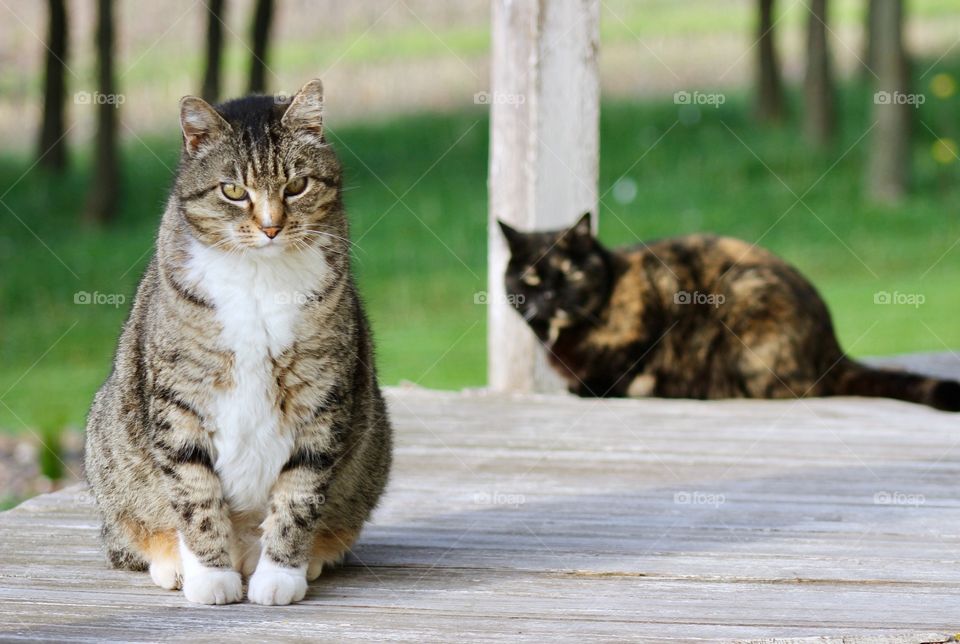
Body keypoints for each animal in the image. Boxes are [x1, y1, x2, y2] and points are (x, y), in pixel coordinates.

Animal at [84, 79, 392, 604]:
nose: (271, 227)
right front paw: (211, 576)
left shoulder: (321, 400)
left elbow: (299, 494)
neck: (259, 277)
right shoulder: (180, 401)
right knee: (131, 536)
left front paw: (280, 576)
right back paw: (177, 564)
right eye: (233, 190)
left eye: (296, 185)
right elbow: (194, 492)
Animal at [498, 214, 960, 410]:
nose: (552, 297)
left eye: (571, 272)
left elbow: (628, 366)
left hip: (745, 303)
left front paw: (599, 386)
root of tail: (832, 348)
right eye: (532, 279)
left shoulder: (658, 301)